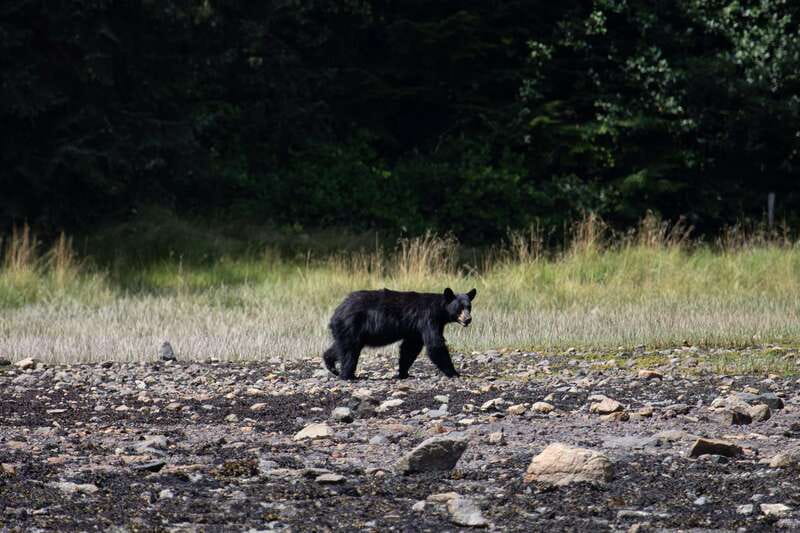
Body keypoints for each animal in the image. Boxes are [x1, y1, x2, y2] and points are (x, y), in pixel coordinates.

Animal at [323, 287, 477, 380]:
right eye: (459, 308)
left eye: (469, 307)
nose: (468, 319)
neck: (440, 311)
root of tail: (337, 312)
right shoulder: (428, 319)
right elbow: (435, 345)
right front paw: (454, 373)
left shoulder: (415, 329)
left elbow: (410, 348)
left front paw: (404, 373)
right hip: (352, 325)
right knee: (350, 351)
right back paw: (348, 375)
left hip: (348, 330)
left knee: (341, 347)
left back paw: (331, 365)